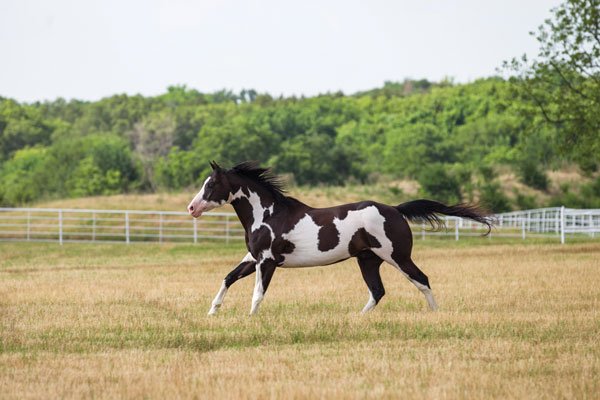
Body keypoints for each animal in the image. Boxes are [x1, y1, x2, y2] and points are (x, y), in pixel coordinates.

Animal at [188, 162, 492, 316]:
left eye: (211, 184)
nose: (192, 208)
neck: (268, 214)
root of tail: (395, 210)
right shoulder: (253, 258)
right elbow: (228, 278)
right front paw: (212, 312)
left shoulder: (268, 261)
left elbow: (257, 294)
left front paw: (251, 320)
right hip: (369, 260)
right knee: (378, 291)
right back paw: (358, 319)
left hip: (396, 256)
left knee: (421, 280)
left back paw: (435, 314)